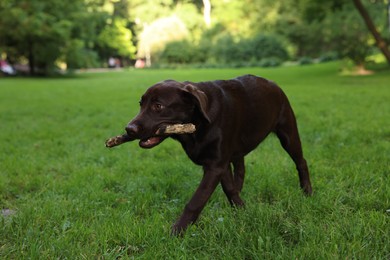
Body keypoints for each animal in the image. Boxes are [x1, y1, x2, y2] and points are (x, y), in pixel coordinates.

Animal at [116, 74, 310, 235]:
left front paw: (177, 231)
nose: (129, 129)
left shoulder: (216, 165)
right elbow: (229, 188)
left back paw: (307, 192)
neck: (197, 125)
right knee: (241, 169)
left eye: (158, 106)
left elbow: (196, 201)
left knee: (301, 162)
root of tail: (273, 84)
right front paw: (241, 210)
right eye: (141, 104)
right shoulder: (220, 164)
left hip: (288, 134)